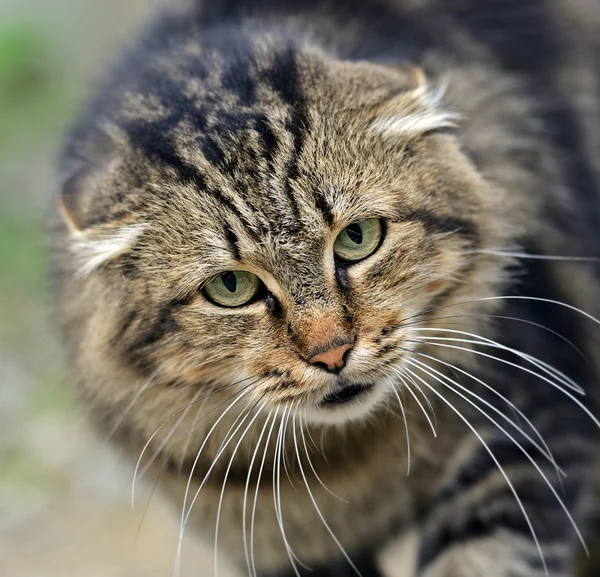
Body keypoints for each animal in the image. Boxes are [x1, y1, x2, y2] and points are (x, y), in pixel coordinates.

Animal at [50, 1, 600, 576]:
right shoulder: (283, 546)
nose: (333, 353)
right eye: (231, 286)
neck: (350, 461)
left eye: (357, 238)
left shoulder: (528, 429)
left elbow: (476, 556)